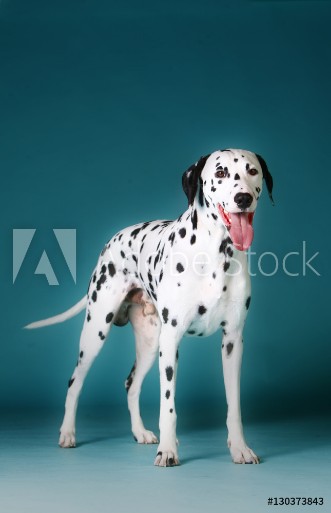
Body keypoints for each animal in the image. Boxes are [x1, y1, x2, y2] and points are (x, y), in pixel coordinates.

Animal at [26, 149, 274, 468]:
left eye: (252, 171)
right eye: (220, 173)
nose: (243, 197)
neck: (215, 254)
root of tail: (112, 241)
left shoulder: (232, 342)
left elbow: (234, 406)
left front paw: (240, 448)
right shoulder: (171, 341)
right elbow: (168, 405)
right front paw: (168, 450)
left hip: (149, 343)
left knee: (131, 384)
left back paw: (140, 432)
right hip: (97, 332)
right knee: (74, 382)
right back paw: (68, 433)